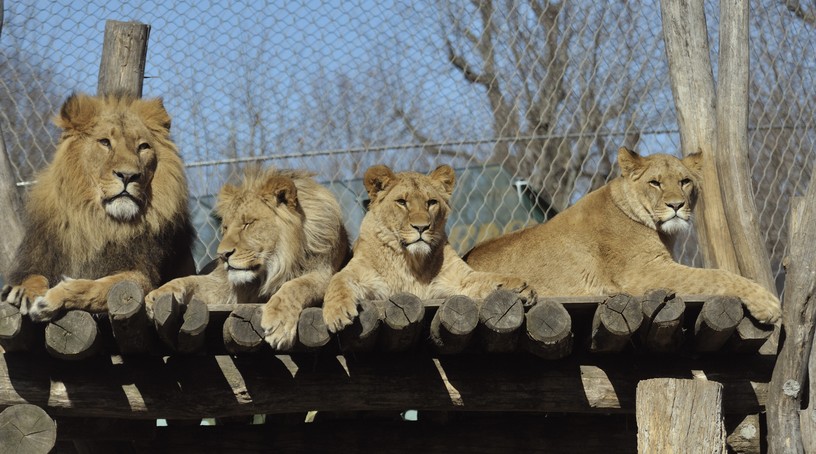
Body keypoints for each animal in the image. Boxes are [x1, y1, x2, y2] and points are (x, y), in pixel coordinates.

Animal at [2, 91, 195, 320]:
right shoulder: (39, 256)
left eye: (143, 147)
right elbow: (33, 276)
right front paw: (24, 291)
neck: (99, 224)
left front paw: (53, 298)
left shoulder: (143, 276)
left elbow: (97, 286)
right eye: (105, 142)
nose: (128, 175)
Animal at [145, 168, 350, 350]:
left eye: (247, 223)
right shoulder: (227, 287)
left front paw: (278, 321)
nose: (222, 255)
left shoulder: (323, 273)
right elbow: (190, 281)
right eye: (226, 227)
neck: (275, 266)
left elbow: (296, 285)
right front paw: (158, 294)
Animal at [322, 165, 532, 332]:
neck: (411, 260)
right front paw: (336, 312)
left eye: (431, 202)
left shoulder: (459, 279)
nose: (421, 227)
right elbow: (337, 281)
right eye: (401, 202)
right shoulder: (360, 273)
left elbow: (487, 278)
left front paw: (520, 287)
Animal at [462, 147, 780, 324]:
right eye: (655, 183)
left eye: (685, 181)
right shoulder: (642, 273)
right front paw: (768, 304)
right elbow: (716, 275)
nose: (676, 205)